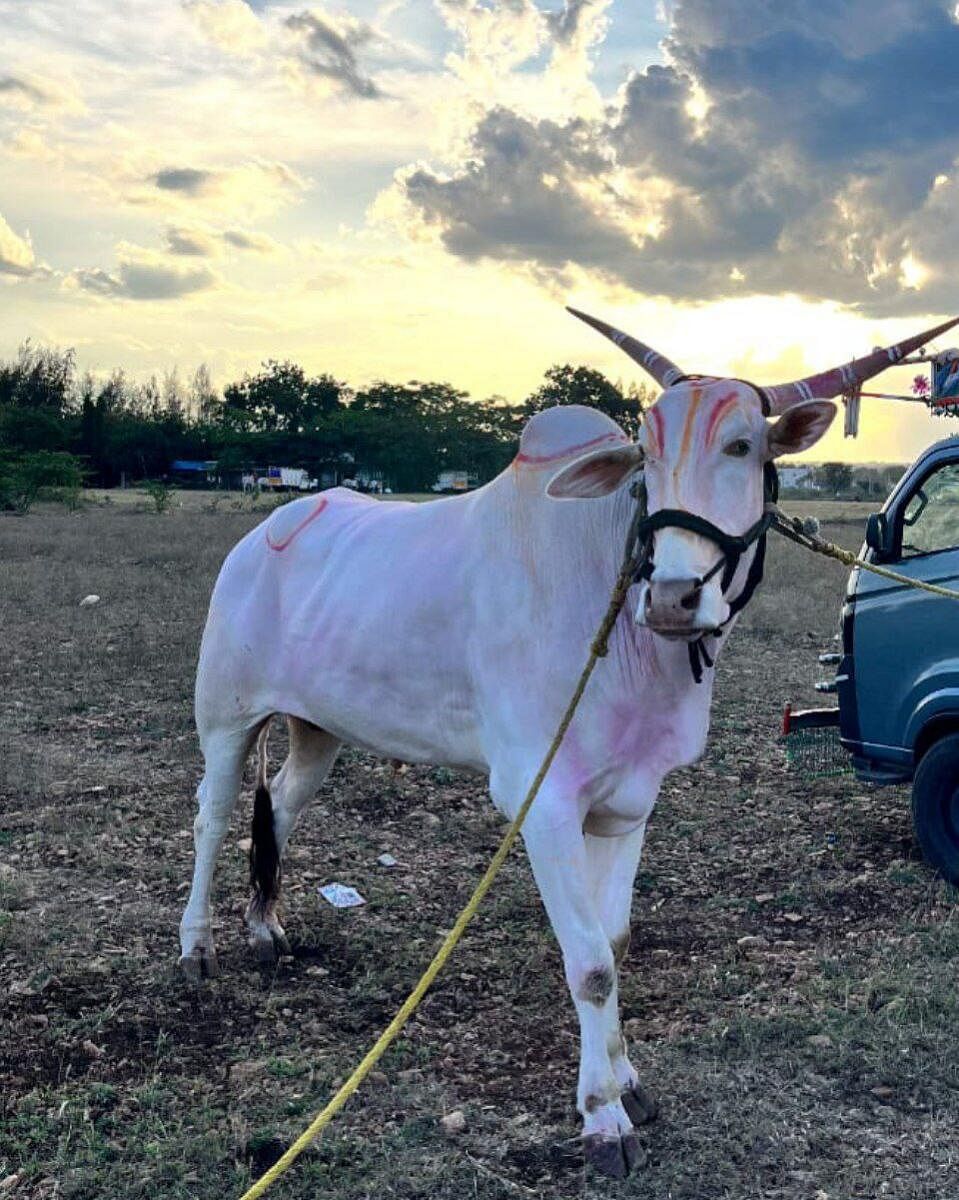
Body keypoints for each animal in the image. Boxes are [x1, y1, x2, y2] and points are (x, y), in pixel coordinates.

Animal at [180, 312, 959, 1180]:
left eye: (743, 446)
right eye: (644, 458)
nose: (673, 597)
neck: (622, 624)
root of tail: (270, 530)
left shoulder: (627, 804)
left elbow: (612, 939)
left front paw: (627, 1080)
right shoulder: (541, 798)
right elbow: (588, 963)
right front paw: (600, 1117)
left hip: (317, 731)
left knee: (277, 809)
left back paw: (264, 929)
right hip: (225, 713)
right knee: (213, 817)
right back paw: (196, 948)